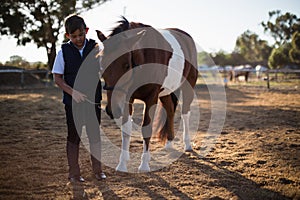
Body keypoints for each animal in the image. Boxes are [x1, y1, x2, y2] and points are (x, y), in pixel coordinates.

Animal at [97, 16, 198, 172]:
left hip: (188, 89)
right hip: (165, 92)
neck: (144, 57)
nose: (112, 109)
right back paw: (169, 143)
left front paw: (144, 164)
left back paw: (187, 145)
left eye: (126, 65)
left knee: (185, 114)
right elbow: (126, 129)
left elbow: (146, 129)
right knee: (170, 110)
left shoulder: (151, 98)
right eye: (102, 66)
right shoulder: (127, 98)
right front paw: (122, 164)